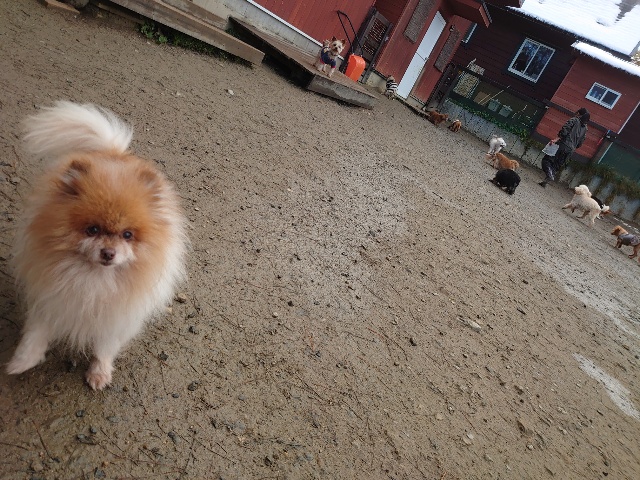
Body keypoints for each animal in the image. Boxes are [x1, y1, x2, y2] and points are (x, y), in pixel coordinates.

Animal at [6, 101, 188, 390]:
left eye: (127, 234)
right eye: (92, 229)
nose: (108, 252)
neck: (93, 280)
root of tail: (114, 153)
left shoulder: (115, 318)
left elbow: (105, 346)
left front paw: (99, 372)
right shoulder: (50, 296)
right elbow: (36, 333)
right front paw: (22, 362)